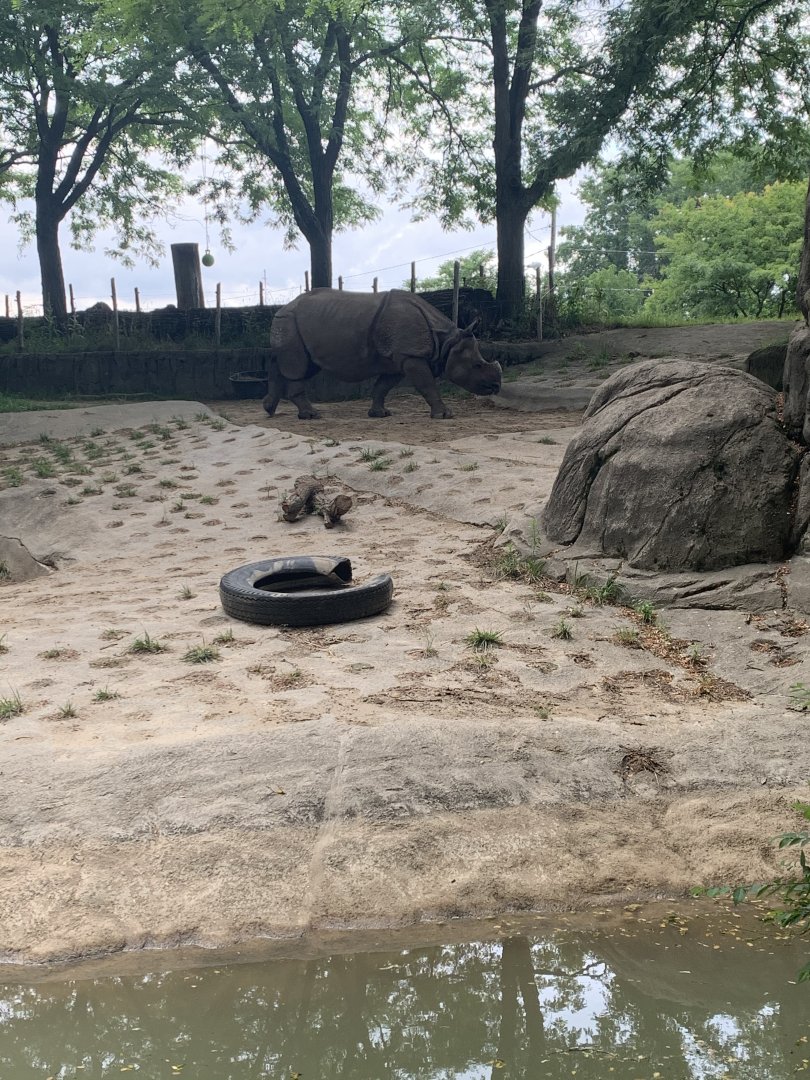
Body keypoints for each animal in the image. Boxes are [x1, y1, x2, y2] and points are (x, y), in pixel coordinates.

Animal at [262, 288, 502, 420]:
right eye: (477, 365)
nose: (496, 387)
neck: (446, 342)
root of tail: (281, 309)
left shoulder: (398, 359)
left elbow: (382, 386)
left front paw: (380, 414)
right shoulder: (411, 355)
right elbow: (427, 385)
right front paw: (445, 415)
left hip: (294, 324)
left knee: (294, 365)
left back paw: (269, 409)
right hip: (289, 322)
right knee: (296, 368)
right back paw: (311, 416)